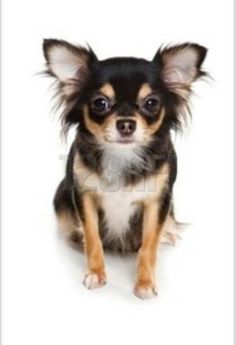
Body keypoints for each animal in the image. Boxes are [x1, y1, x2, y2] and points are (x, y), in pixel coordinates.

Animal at [42, 39, 206, 298]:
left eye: (151, 103)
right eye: (100, 103)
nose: (126, 123)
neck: (122, 156)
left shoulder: (158, 202)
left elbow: (149, 245)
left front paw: (145, 283)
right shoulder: (83, 195)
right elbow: (93, 237)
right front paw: (96, 273)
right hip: (61, 195)